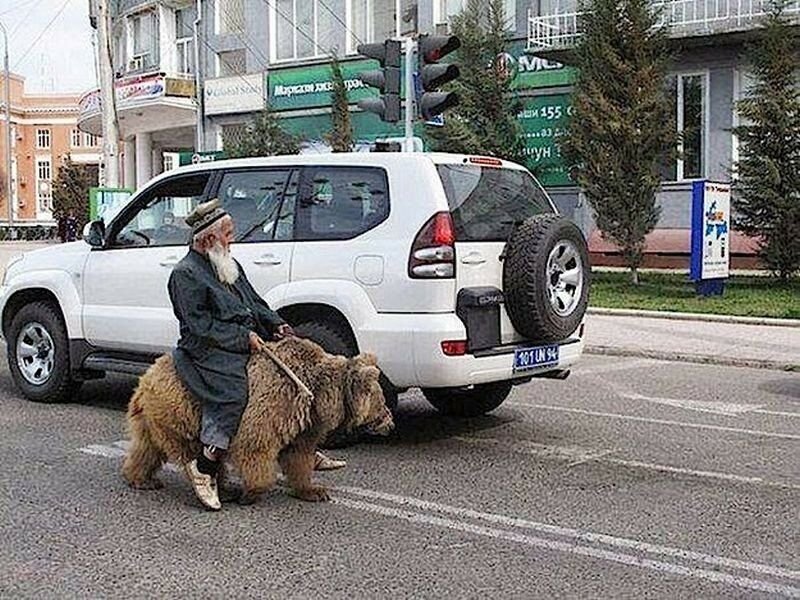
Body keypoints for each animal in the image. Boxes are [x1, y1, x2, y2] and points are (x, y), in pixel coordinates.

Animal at [121, 336, 394, 504]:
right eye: (383, 402)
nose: (391, 423)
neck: (315, 393)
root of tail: (146, 378)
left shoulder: (304, 423)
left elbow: (299, 455)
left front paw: (315, 490)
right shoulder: (275, 404)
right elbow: (256, 446)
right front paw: (251, 492)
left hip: (153, 416)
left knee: (146, 447)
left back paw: (142, 479)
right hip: (183, 409)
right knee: (191, 449)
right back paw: (210, 485)